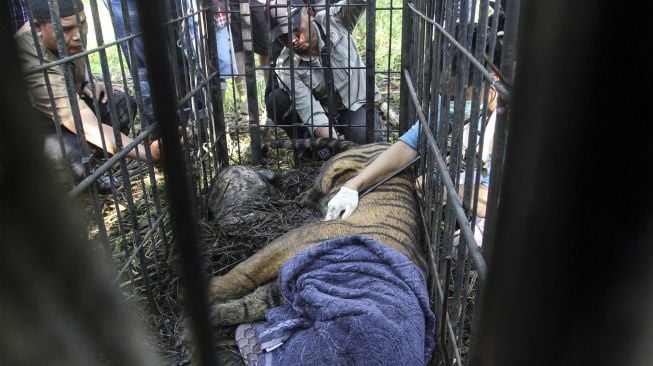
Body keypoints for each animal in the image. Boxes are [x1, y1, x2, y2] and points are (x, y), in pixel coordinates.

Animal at [206, 142, 426, 326]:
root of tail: (383, 142)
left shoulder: (276, 292)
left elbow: (243, 308)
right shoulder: (292, 242)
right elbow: (244, 275)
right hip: (332, 169)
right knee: (317, 185)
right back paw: (304, 199)